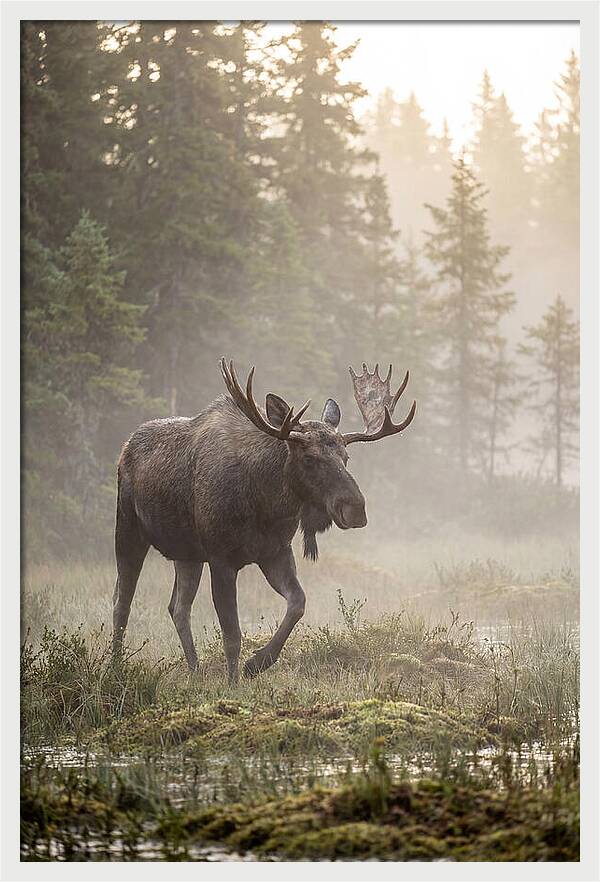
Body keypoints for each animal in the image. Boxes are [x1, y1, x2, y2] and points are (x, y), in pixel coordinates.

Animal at [113, 359, 416, 681]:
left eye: (346, 458)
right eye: (309, 458)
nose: (355, 509)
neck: (266, 504)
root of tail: (125, 447)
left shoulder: (275, 552)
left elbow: (298, 603)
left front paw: (257, 662)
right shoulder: (220, 558)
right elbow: (232, 634)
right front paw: (233, 682)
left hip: (187, 554)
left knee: (178, 607)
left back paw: (194, 670)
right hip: (128, 529)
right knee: (122, 601)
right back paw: (115, 666)